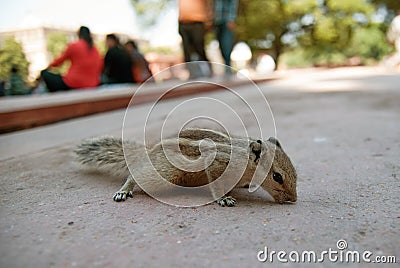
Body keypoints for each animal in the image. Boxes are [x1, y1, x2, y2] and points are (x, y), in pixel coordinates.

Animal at [74, 129, 296, 206]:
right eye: (277, 177)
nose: (293, 199)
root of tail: (149, 151)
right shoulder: (217, 164)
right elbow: (216, 186)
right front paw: (224, 199)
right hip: (164, 174)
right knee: (134, 175)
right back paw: (124, 190)